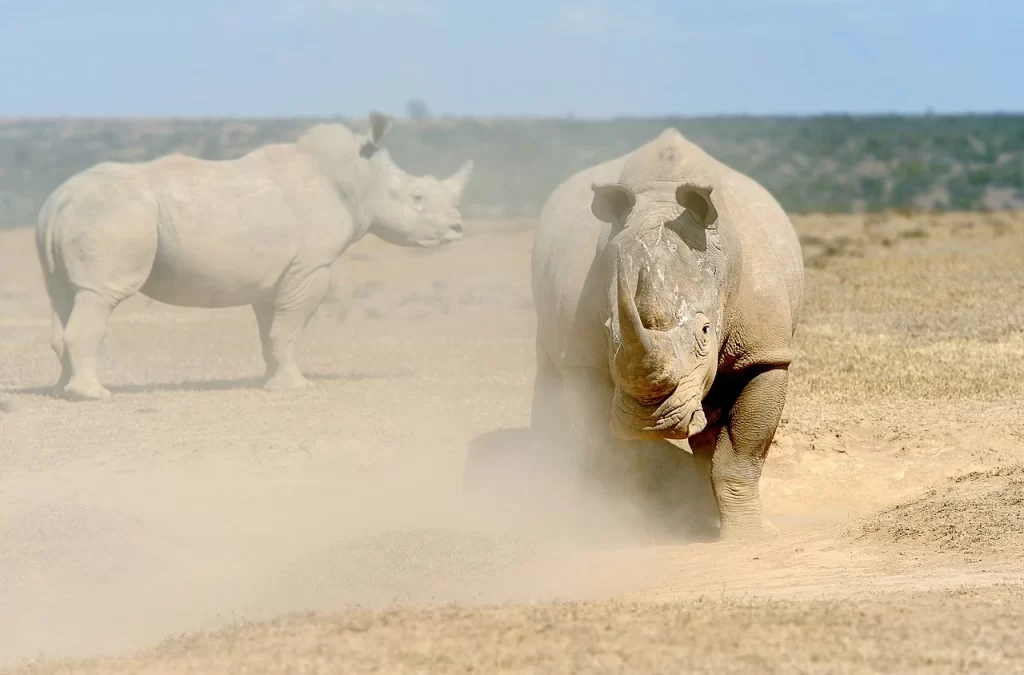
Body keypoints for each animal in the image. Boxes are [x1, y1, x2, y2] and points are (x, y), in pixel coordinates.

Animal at [35, 112, 475, 401]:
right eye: (418, 197)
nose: (457, 228)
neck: (359, 179)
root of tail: (59, 199)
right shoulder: (310, 268)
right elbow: (289, 329)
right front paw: (296, 387)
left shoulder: (279, 273)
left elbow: (272, 331)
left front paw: (270, 381)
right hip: (112, 215)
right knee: (99, 295)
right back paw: (95, 395)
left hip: (69, 217)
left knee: (63, 295)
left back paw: (61, 392)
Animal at [532, 125, 802, 536]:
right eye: (608, 329)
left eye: (706, 330)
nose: (653, 421)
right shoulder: (583, 358)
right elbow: (609, 454)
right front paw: (619, 525)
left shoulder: (764, 353)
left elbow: (741, 452)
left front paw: (749, 536)